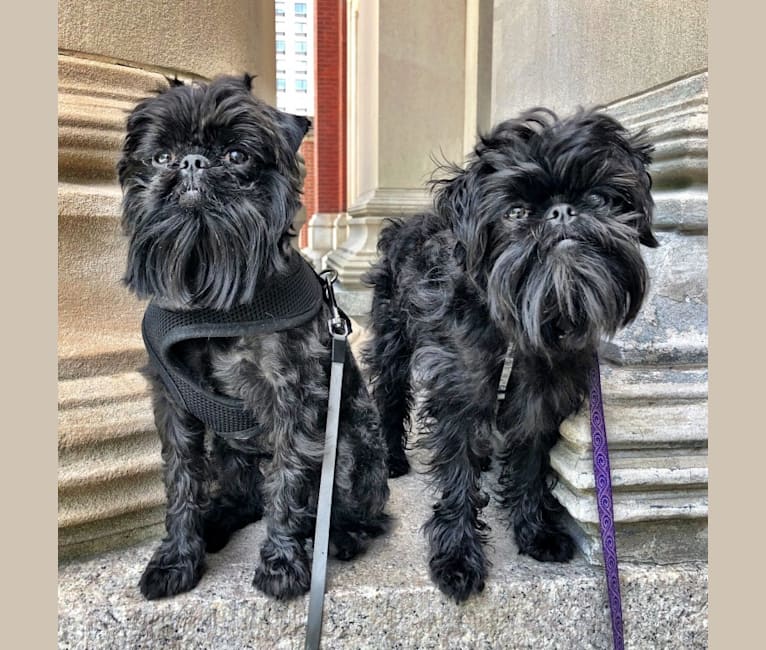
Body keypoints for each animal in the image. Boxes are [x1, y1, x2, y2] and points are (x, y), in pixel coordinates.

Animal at [118, 74, 390, 596]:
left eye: (236, 155)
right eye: (161, 157)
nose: (192, 161)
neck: (212, 294)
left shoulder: (291, 397)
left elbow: (287, 482)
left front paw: (283, 563)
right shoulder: (173, 401)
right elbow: (181, 478)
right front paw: (176, 557)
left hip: (346, 448)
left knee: (359, 513)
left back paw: (340, 536)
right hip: (229, 450)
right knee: (245, 498)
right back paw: (217, 520)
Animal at [366, 109, 660, 600]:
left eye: (598, 197)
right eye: (516, 212)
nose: (562, 212)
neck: (524, 323)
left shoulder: (540, 401)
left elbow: (529, 466)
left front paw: (534, 531)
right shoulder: (459, 392)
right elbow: (458, 475)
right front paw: (457, 557)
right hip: (393, 341)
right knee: (389, 395)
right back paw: (391, 457)